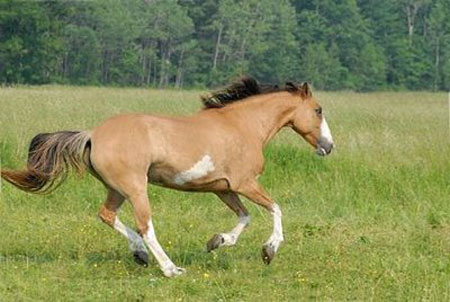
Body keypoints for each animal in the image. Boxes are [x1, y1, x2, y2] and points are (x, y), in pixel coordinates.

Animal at [0, 76, 334, 278]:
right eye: (318, 110)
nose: (328, 147)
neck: (243, 125)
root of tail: (93, 134)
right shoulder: (245, 183)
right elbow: (275, 208)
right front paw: (269, 251)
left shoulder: (223, 189)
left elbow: (245, 217)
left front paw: (217, 241)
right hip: (136, 188)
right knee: (145, 226)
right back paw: (170, 269)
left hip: (116, 189)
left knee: (107, 215)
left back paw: (139, 254)